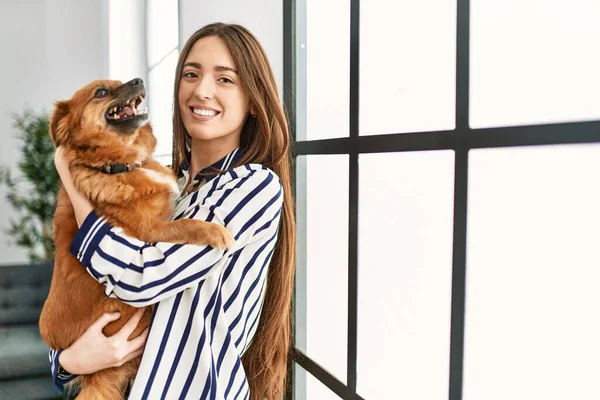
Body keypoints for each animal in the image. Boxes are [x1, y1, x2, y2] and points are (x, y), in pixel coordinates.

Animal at [39, 79, 232, 400]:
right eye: (101, 92)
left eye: (120, 83)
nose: (138, 81)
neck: (123, 164)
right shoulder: (149, 233)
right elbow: (186, 224)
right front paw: (215, 231)